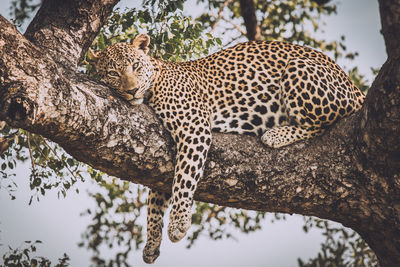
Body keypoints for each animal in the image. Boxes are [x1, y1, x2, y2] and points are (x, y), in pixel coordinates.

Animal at [88, 33, 366, 264]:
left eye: (135, 66)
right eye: (113, 73)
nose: (132, 90)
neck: (155, 78)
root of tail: (351, 83)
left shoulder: (194, 127)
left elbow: (184, 178)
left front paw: (178, 224)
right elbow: (156, 200)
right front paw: (152, 243)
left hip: (300, 69)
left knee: (324, 121)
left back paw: (275, 135)